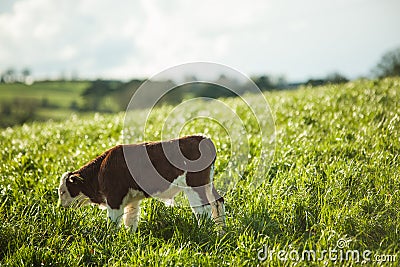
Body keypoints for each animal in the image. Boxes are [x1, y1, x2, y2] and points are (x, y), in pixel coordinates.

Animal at [57, 136, 225, 232]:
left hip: (194, 185)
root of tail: (202, 138)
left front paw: (110, 239)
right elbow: (130, 219)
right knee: (217, 201)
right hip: (208, 183)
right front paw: (129, 238)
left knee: (203, 209)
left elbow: (113, 222)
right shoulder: (131, 199)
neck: (101, 169)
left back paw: (203, 232)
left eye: (63, 191)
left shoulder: (114, 198)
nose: (61, 207)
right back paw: (221, 231)